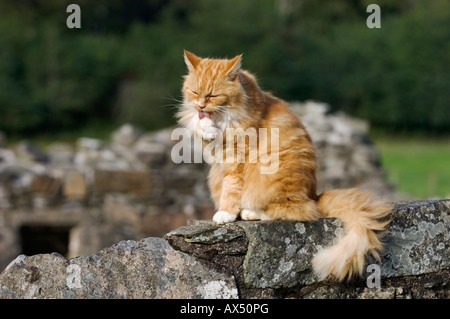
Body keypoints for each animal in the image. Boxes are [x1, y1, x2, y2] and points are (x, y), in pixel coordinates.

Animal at [176, 50, 390, 282]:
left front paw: (226, 213)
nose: (201, 105)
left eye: (212, 95)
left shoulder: (236, 159)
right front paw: (205, 125)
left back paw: (250, 213)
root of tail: (314, 195)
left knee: (295, 211)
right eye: (195, 92)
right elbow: (198, 124)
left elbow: (231, 191)